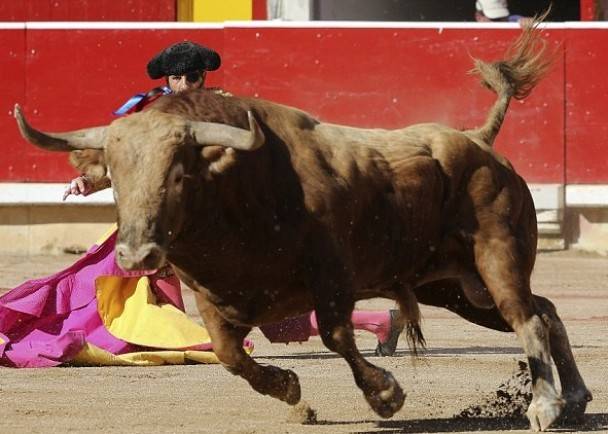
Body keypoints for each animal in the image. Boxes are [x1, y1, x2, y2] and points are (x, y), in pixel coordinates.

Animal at [14, 19, 592, 430]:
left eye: (178, 173)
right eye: (113, 174)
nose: (136, 255)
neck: (239, 186)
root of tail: (478, 139)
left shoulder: (331, 274)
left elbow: (335, 334)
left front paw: (386, 395)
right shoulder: (213, 298)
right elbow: (228, 355)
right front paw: (289, 389)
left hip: (497, 257)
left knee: (528, 318)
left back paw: (545, 406)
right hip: (456, 287)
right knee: (545, 311)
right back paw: (576, 399)